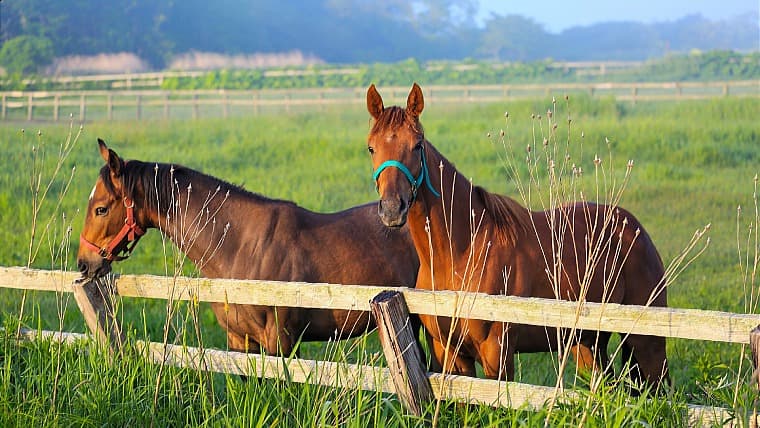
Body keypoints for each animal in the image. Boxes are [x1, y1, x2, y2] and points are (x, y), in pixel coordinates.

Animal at [363, 83, 669, 389]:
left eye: (417, 144)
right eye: (371, 147)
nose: (392, 208)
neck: (461, 253)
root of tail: (634, 229)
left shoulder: (496, 352)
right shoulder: (450, 354)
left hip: (647, 345)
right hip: (587, 343)